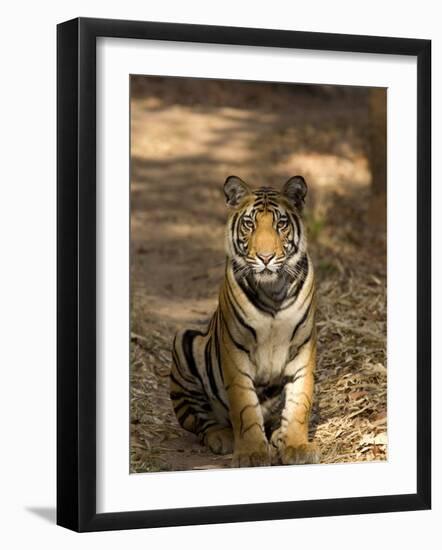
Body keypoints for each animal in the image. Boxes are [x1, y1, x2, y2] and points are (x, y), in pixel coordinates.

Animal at [171, 175, 320, 468]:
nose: (265, 258)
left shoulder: (302, 348)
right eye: (250, 224)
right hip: (184, 342)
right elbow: (245, 407)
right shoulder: (235, 351)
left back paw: (279, 436)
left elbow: (300, 402)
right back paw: (223, 437)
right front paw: (251, 453)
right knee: (200, 420)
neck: (273, 291)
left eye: (280, 224)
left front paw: (296, 446)